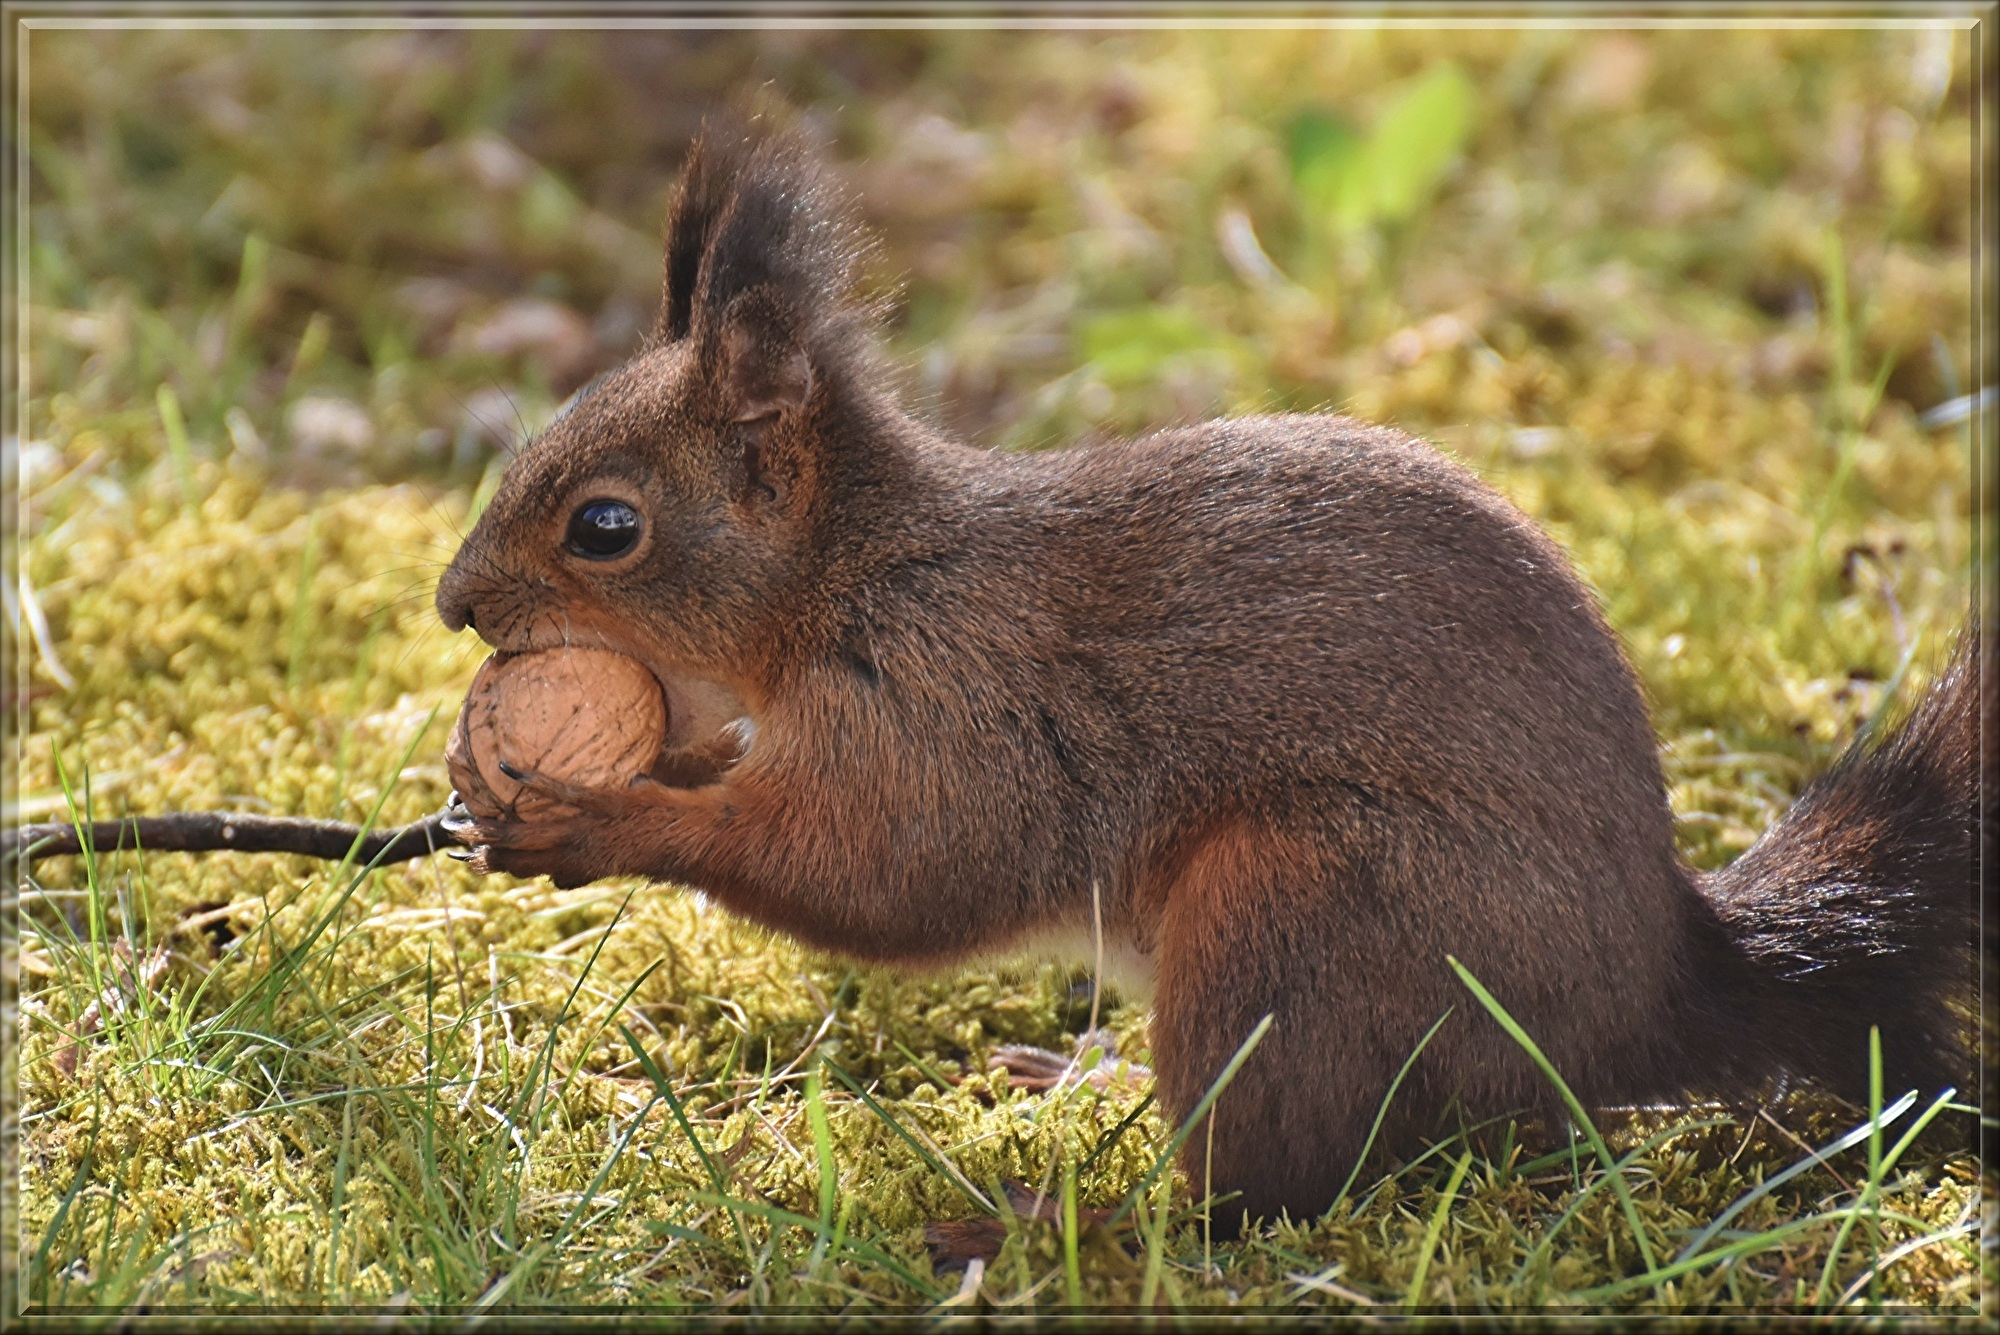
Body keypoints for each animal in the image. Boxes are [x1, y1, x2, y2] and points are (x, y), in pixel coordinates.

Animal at [435, 124, 1979, 1232]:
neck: (855, 576)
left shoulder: (952, 703)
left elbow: (888, 872)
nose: (454, 605)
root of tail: (1650, 998)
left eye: (605, 528)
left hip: (1305, 920)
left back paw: (1060, 1218)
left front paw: (599, 819)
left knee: (1261, 1189)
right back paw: (1090, 1077)